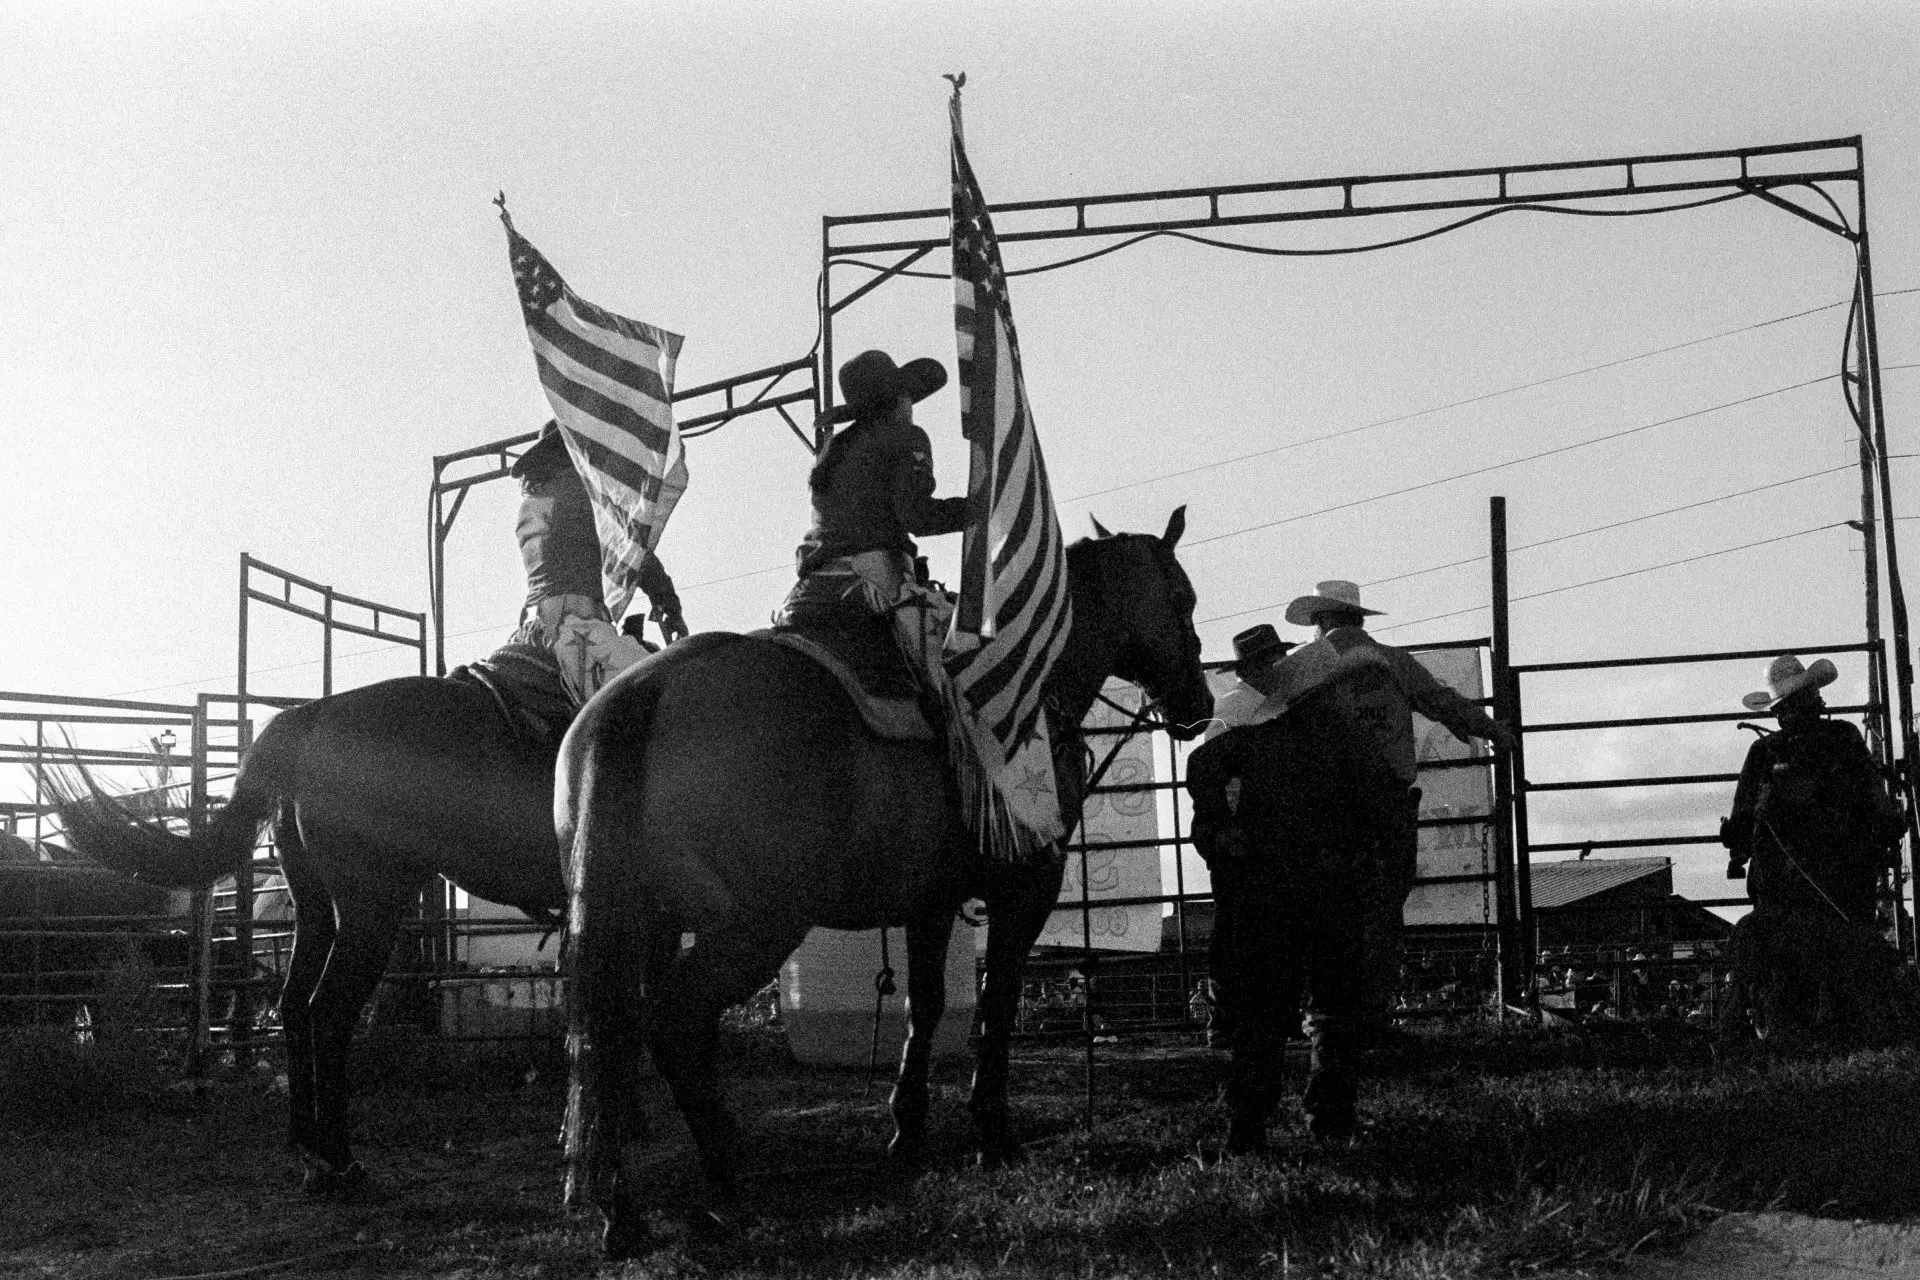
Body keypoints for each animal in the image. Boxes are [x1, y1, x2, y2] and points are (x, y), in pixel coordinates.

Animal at [52, 679, 560, 1189]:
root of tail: (310, 715)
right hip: (369, 908)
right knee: (329, 1010)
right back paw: (339, 1159)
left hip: (315, 909)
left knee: (296, 1001)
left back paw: (308, 1146)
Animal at [560, 506, 1213, 1251]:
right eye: (1181, 599)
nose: (1198, 702)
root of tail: (645, 691)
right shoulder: (1026, 890)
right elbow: (996, 1003)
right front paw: (993, 1134)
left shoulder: (931, 903)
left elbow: (924, 1006)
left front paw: (907, 1129)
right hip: (756, 926)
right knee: (675, 1021)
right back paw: (725, 1180)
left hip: (638, 922)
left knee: (608, 1035)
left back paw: (621, 1210)